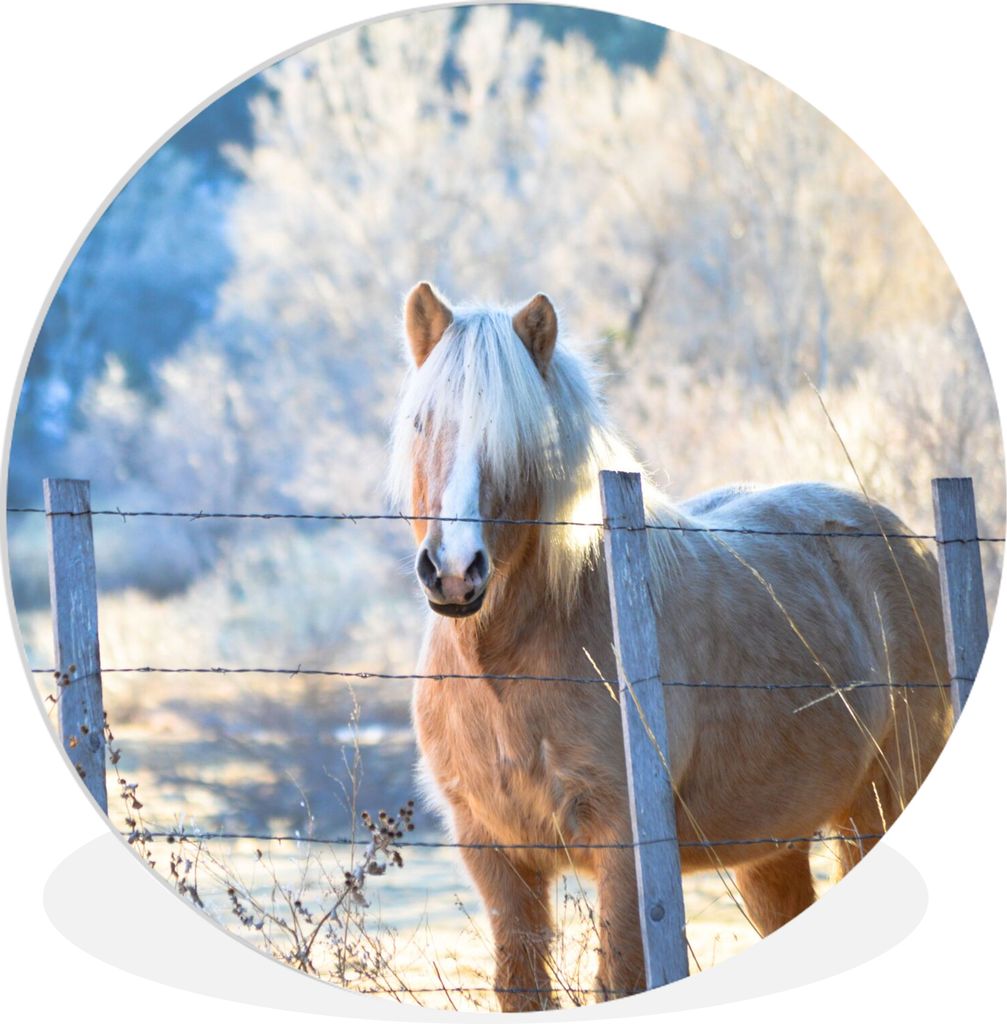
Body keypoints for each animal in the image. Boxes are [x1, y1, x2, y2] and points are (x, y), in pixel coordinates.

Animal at [389, 282, 953, 1011]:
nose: (456, 571)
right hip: (774, 847)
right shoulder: (495, 856)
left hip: (875, 809)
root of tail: (904, 540)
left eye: (520, 439)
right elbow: (522, 988)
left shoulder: (626, 853)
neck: (505, 673)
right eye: (421, 423)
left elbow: (621, 981)